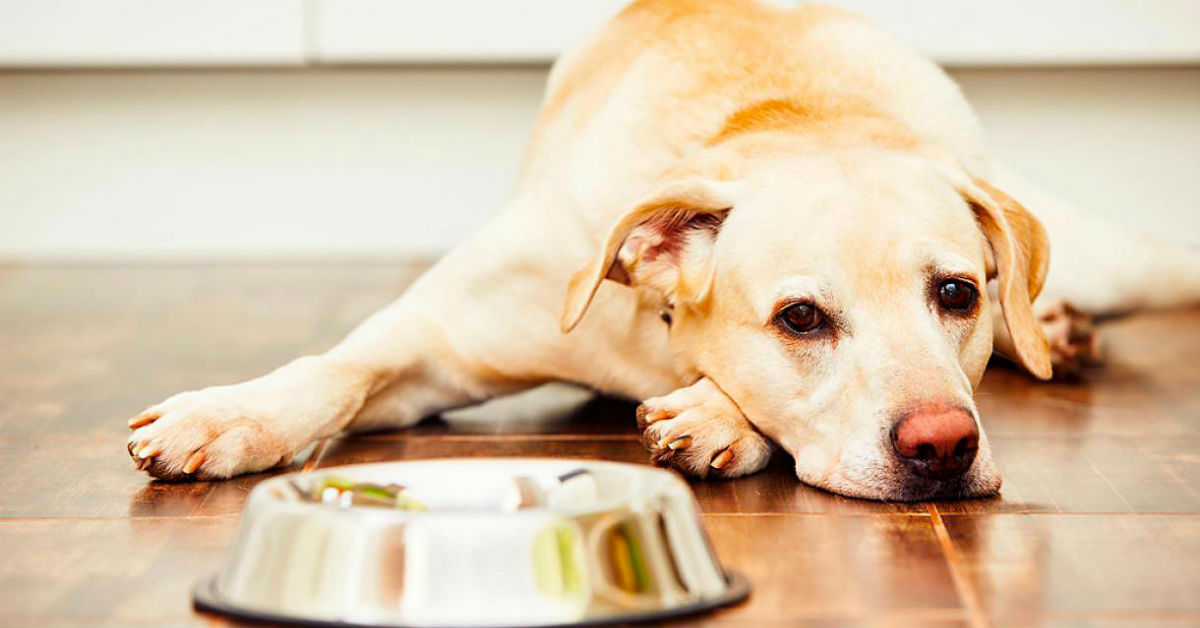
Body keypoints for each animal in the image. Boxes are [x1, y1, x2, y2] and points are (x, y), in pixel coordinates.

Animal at [124, 0, 1200, 501]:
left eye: (957, 295)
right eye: (801, 317)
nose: (944, 447)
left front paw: (714, 415)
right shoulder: (438, 335)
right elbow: (336, 367)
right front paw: (230, 415)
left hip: (1125, 260)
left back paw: (1058, 325)